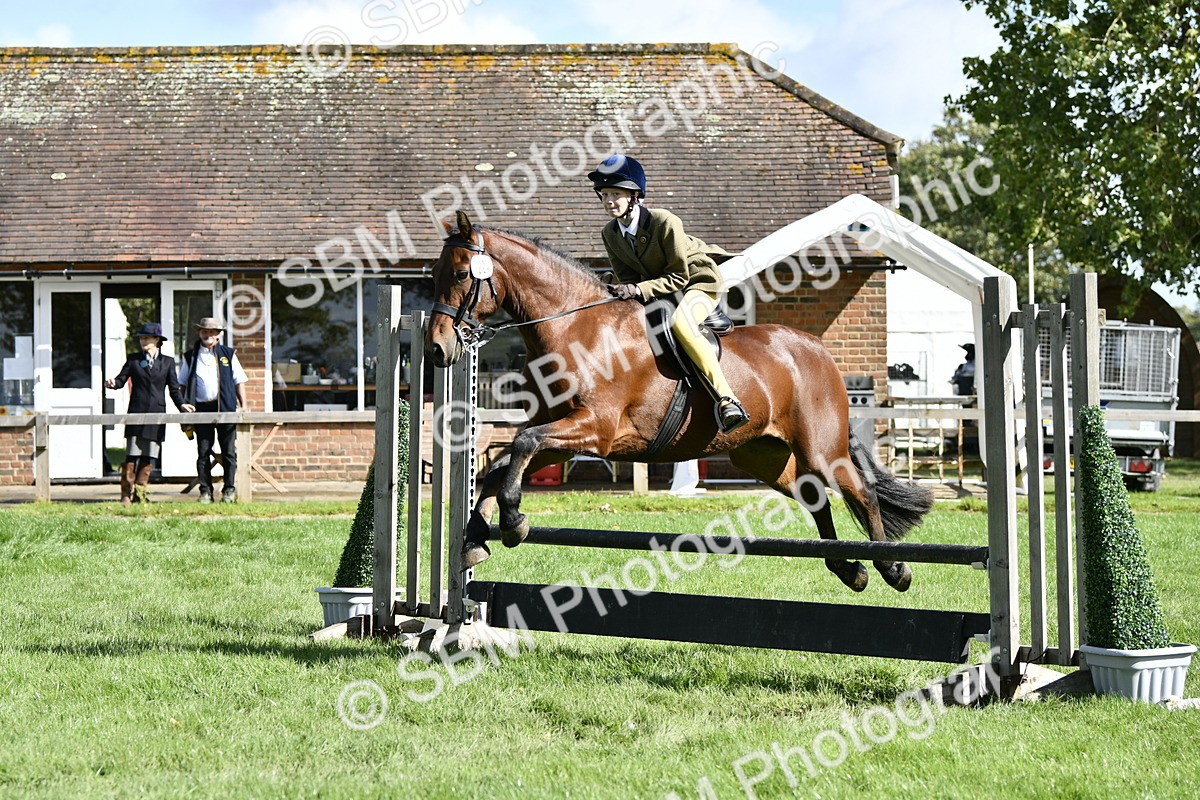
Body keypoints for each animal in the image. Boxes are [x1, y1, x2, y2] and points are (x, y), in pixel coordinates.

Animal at [425, 211, 934, 592]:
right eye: (431, 276)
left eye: (460, 274)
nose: (437, 349)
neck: (574, 328)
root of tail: (818, 350)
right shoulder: (565, 436)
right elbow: (500, 464)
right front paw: (475, 541)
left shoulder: (596, 429)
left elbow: (522, 444)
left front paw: (512, 521)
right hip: (765, 456)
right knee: (815, 497)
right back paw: (848, 569)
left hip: (821, 448)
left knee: (861, 491)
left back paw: (893, 569)